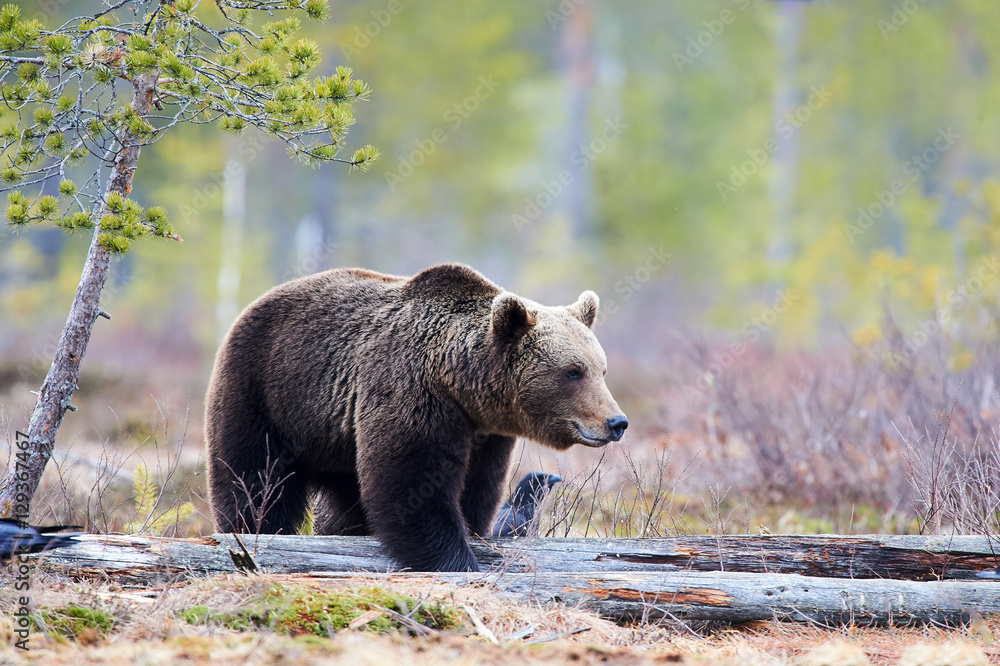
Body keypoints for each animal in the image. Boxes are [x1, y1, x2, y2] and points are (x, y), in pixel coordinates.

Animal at [205, 263, 627, 571]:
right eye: (572, 372)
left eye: (601, 370)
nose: (617, 422)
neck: (458, 384)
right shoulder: (410, 392)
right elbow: (412, 483)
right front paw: (459, 561)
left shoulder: (485, 434)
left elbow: (478, 489)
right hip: (266, 393)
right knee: (253, 479)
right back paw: (253, 532)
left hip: (336, 443)